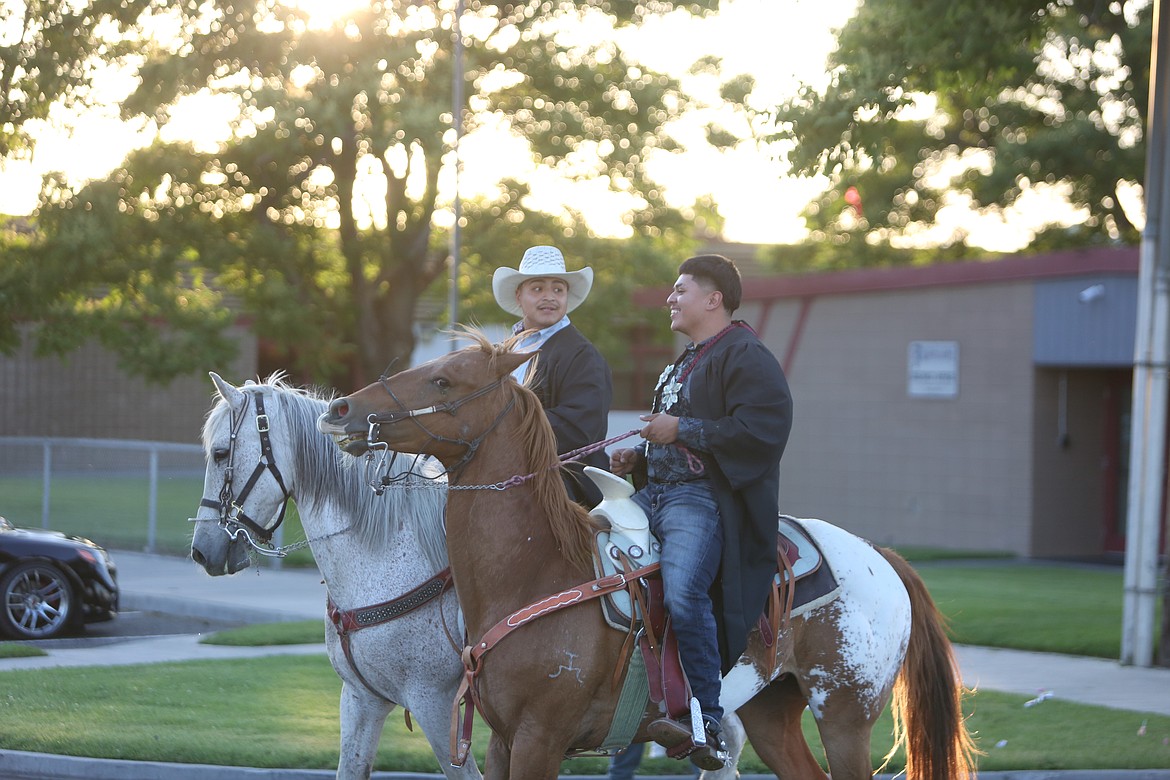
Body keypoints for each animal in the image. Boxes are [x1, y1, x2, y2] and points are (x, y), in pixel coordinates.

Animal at [318, 332, 978, 780]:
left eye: (445, 381)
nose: (341, 410)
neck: (532, 572)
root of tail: (879, 558)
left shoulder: (539, 739)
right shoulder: (502, 740)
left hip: (845, 714)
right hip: (773, 713)